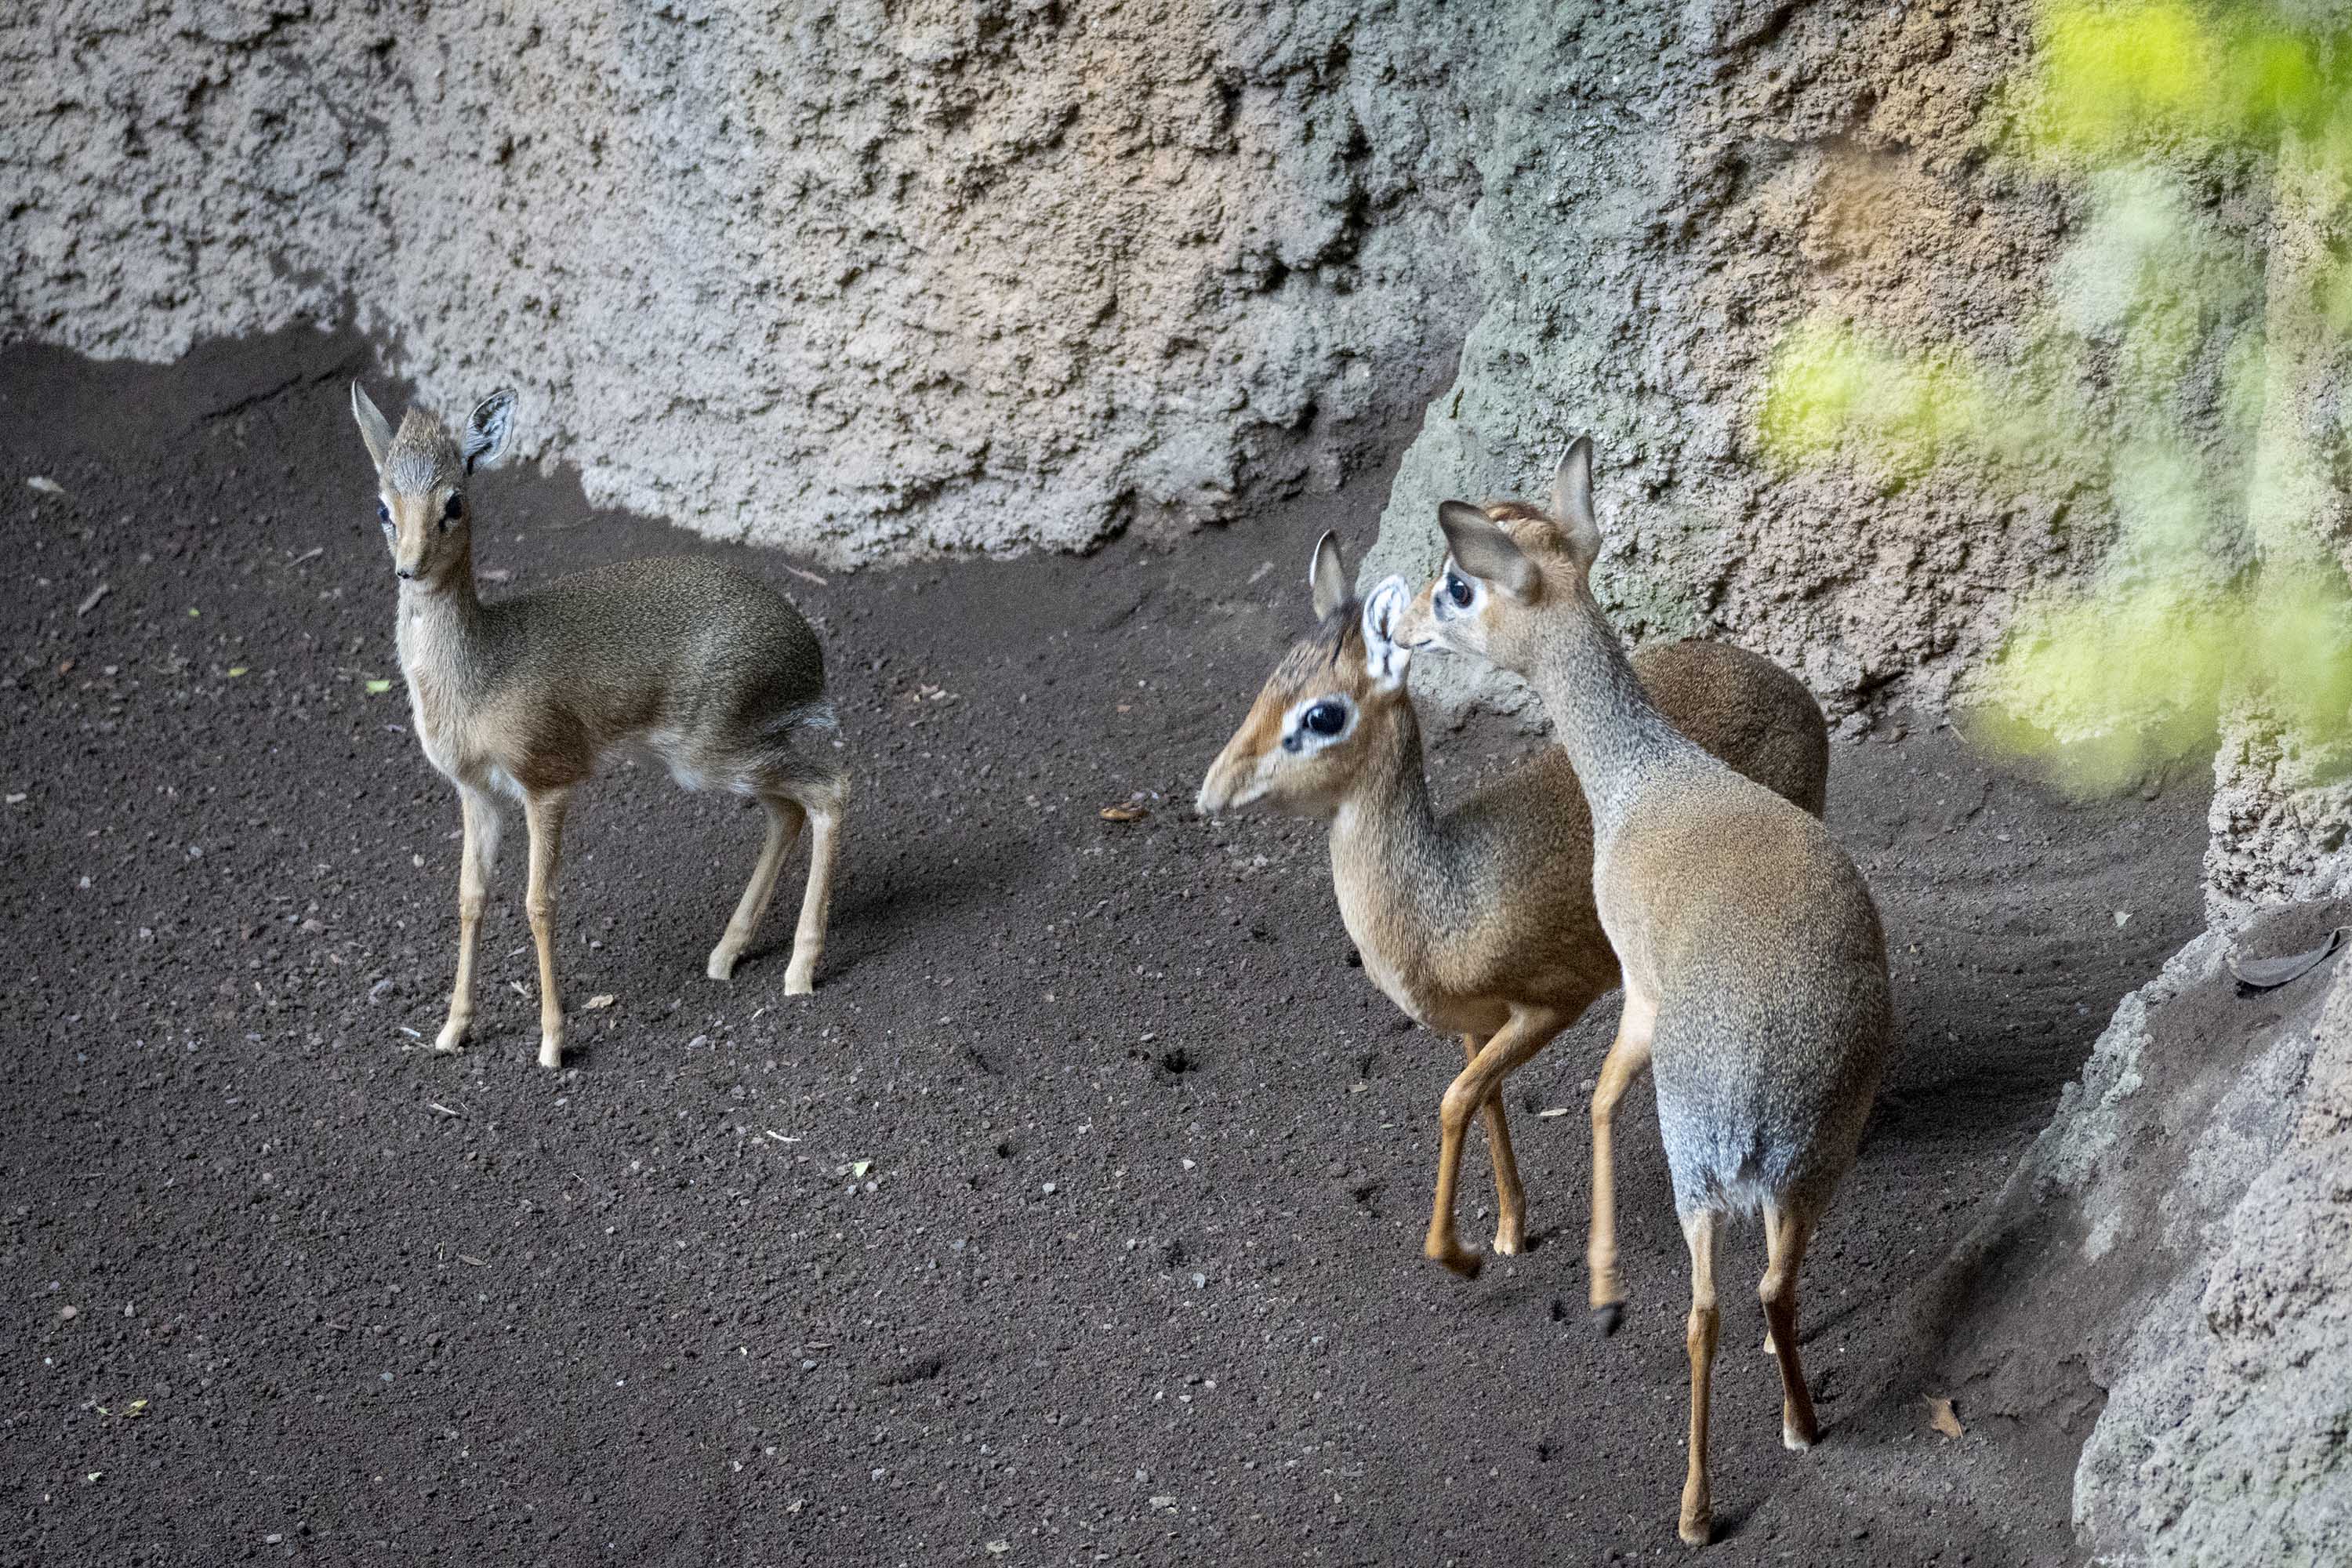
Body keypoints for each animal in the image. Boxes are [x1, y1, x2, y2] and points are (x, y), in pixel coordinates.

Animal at [353, 380, 851, 1072]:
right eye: (382, 507)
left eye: (454, 500)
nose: (411, 566)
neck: (479, 670)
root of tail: (810, 650)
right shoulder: (476, 792)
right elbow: (470, 897)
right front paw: (453, 1029)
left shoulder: (547, 782)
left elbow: (539, 902)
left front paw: (553, 1040)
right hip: (723, 757)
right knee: (789, 811)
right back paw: (726, 955)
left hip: (715, 753)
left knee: (831, 788)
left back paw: (800, 972)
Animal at [1195, 535, 1835, 1288]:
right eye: (1268, 687)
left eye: (1323, 713)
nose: (1212, 792)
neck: (1441, 901)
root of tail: (1794, 689)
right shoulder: (1477, 1024)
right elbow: (1485, 1099)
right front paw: (1507, 1231)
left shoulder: (1552, 1002)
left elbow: (1452, 1101)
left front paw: (1457, 1256)